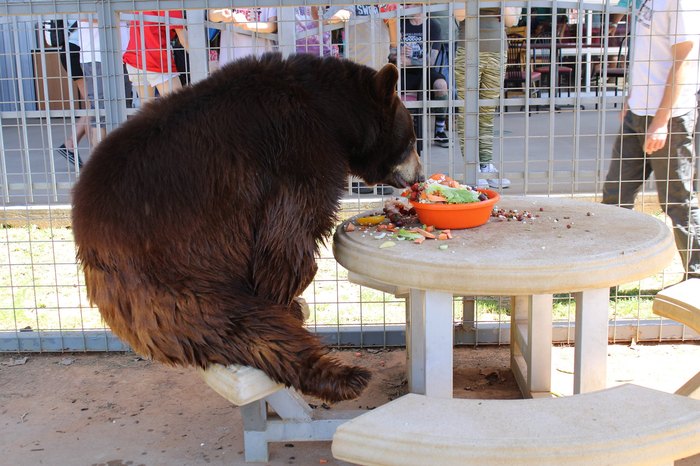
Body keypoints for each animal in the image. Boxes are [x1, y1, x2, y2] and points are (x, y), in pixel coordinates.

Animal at [71, 52, 422, 402]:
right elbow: (287, 236)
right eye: (412, 140)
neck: (333, 112)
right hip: (177, 274)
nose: (419, 175)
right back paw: (344, 376)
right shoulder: (299, 151)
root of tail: (90, 247)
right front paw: (289, 300)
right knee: (247, 328)